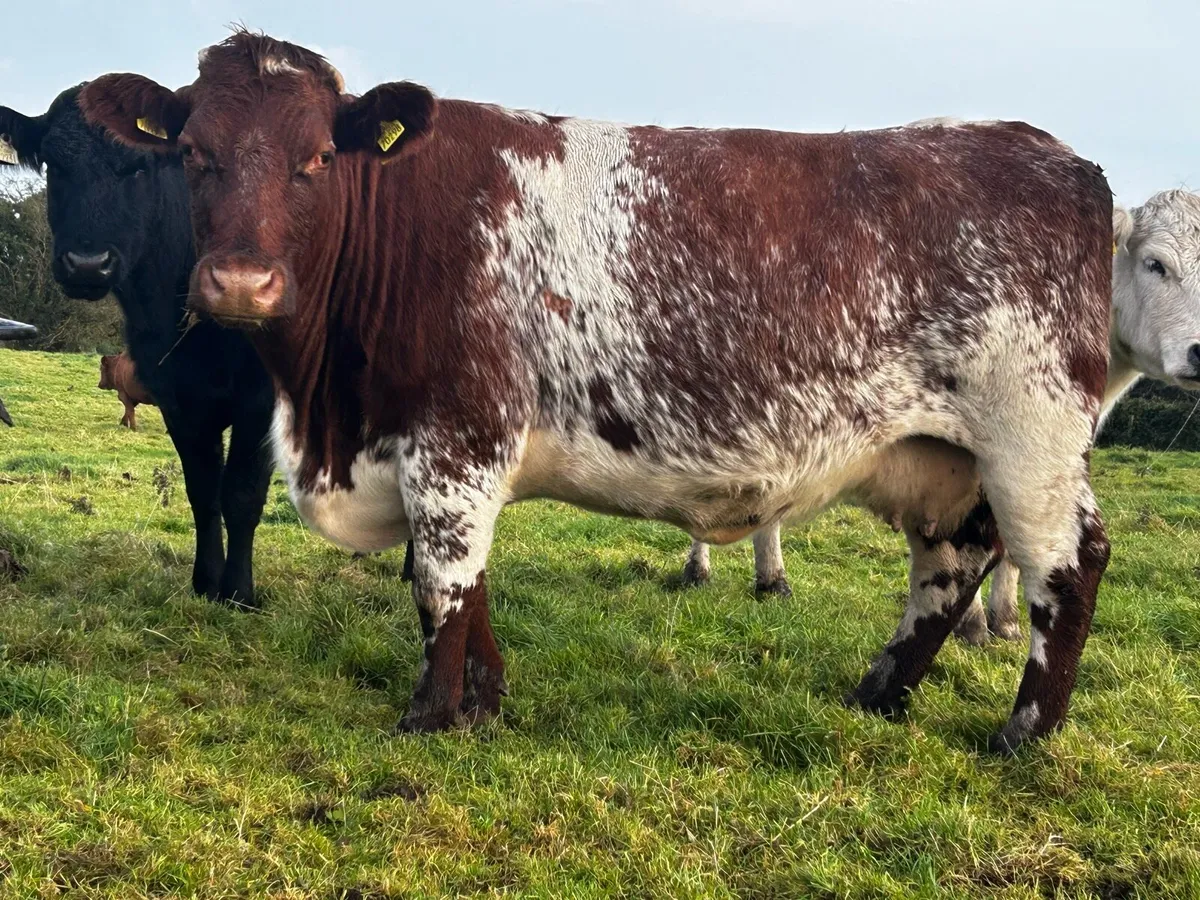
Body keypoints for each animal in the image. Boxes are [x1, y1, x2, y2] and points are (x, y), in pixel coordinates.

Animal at [0, 87, 275, 607]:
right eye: (52, 162)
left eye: (139, 165)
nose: (88, 264)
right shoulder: (177, 397)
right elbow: (202, 491)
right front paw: (205, 583)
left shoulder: (263, 399)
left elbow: (243, 494)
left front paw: (238, 592)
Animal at [80, 32, 1116, 753]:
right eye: (194, 153)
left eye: (317, 160)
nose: (240, 285)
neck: (332, 412)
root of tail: (1060, 157)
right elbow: (467, 585)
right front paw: (486, 705)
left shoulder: (454, 441)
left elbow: (442, 581)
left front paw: (430, 720)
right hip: (946, 454)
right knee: (951, 562)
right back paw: (878, 693)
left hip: (1031, 436)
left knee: (1068, 562)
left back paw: (1021, 736)